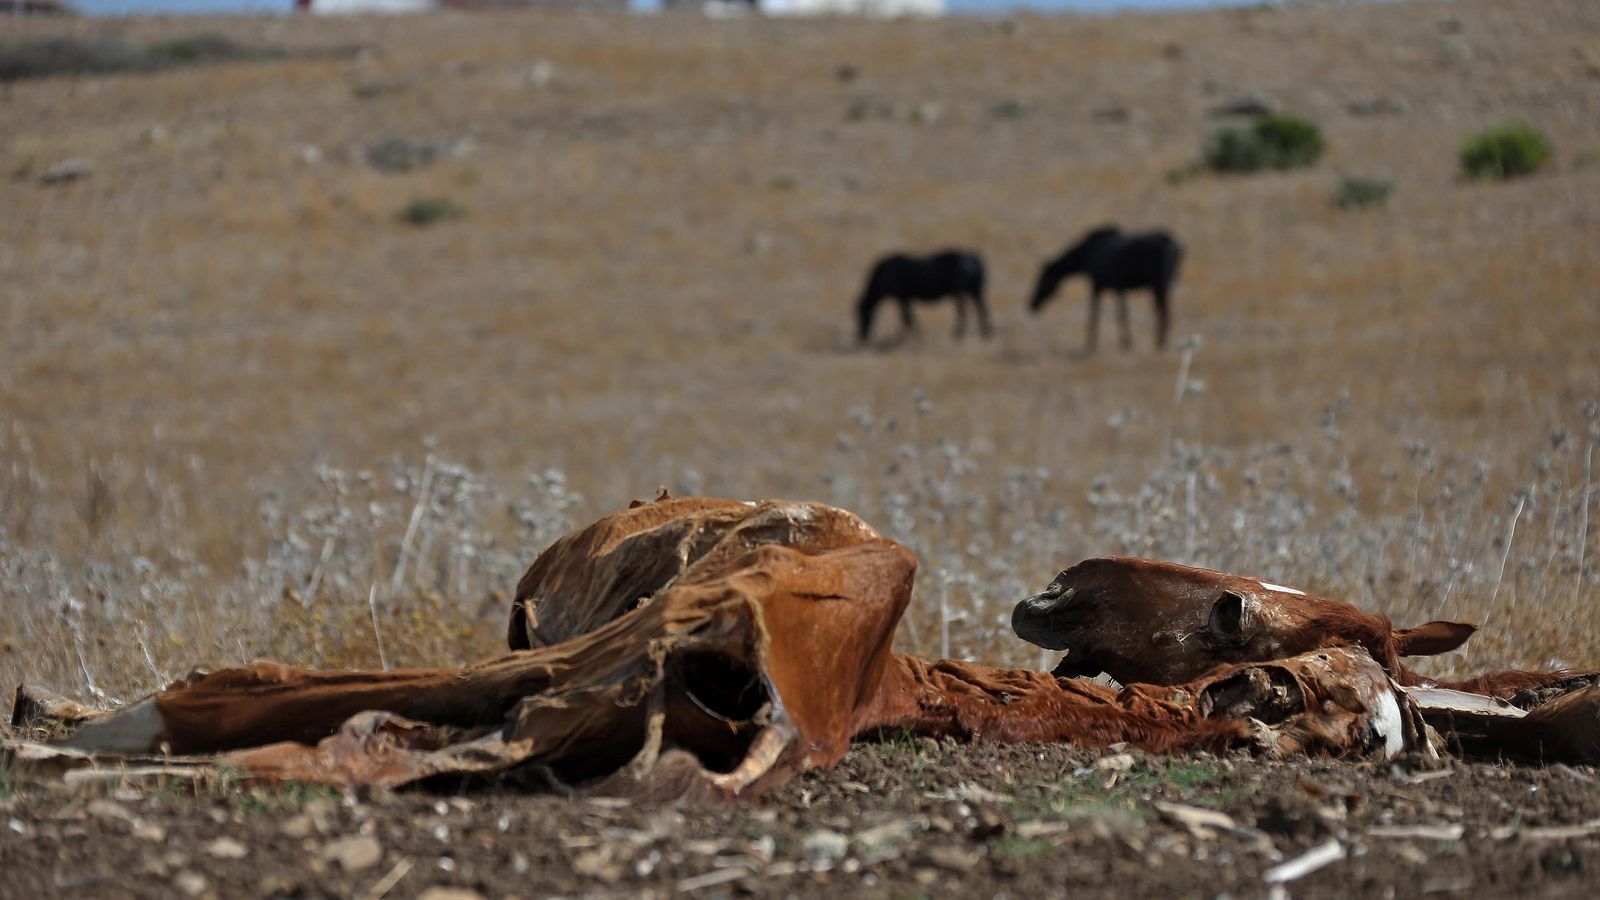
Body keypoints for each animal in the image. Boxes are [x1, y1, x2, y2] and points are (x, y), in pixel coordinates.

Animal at [856, 250, 990, 344]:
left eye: (863, 314)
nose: (861, 335)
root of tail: (973, 260)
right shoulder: (906, 298)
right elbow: (909, 317)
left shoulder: (902, 298)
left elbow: (907, 318)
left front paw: (914, 335)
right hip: (974, 291)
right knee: (981, 308)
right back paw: (986, 332)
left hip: (958, 292)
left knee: (964, 311)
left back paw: (958, 333)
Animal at [1027, 227, 1183, 352]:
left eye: (1042, 279)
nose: (1031, 304)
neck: (1087, 254)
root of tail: (1175, 244)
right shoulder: (1113, 287)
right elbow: (1111, 314)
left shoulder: (1101, 286)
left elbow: (1100, 314)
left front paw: (1116, 343)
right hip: (1164, 285)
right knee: (1164, 310)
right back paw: (1161, 341)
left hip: (1160, 284)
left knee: (1164, 311)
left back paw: (1161, 342)